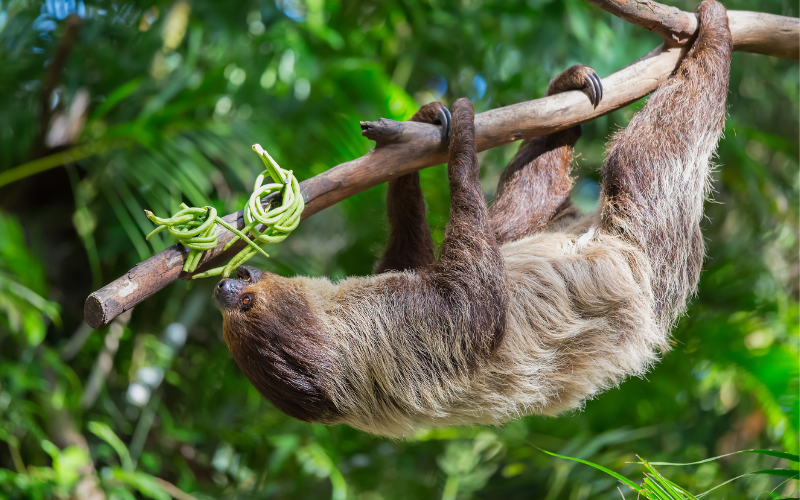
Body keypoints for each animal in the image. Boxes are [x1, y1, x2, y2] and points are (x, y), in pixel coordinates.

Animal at [214, 0, 732, 438]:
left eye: (246, 296)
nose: (225, 286)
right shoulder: (401, 336)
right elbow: (477, 303)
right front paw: (462, 135)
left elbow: (412, 259)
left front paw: (419, 127)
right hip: (647, 249)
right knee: (641, 157)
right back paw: (714, 29)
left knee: (524, 207)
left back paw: (567, 90)